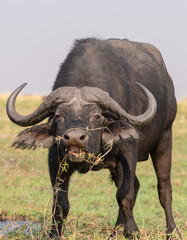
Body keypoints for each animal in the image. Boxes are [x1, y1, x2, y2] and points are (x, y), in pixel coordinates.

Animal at [6, 38, 180, 239]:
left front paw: (132, 232)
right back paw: (115, 232)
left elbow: (124, 195)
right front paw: (54, 233)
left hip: (165, 139)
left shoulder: (128, 151)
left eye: (96, 116)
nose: (74, 138)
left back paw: (172, 230)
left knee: (164, 188)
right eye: (58, 115)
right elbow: (60, 202)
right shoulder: (55, 161)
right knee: (135, 185)